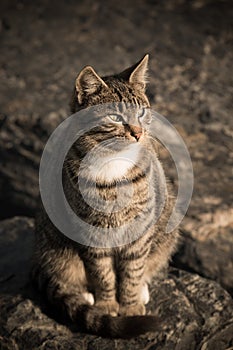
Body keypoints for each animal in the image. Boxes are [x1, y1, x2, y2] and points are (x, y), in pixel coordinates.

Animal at [31, 55, 179, 340]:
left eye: (141, 112)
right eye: (114, 116)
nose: (138, 133)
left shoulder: (140, 229)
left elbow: (132, 271)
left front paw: (130, 305)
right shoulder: (89, 233)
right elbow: (102, 274)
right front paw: (107, 306)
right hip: (54, 248)